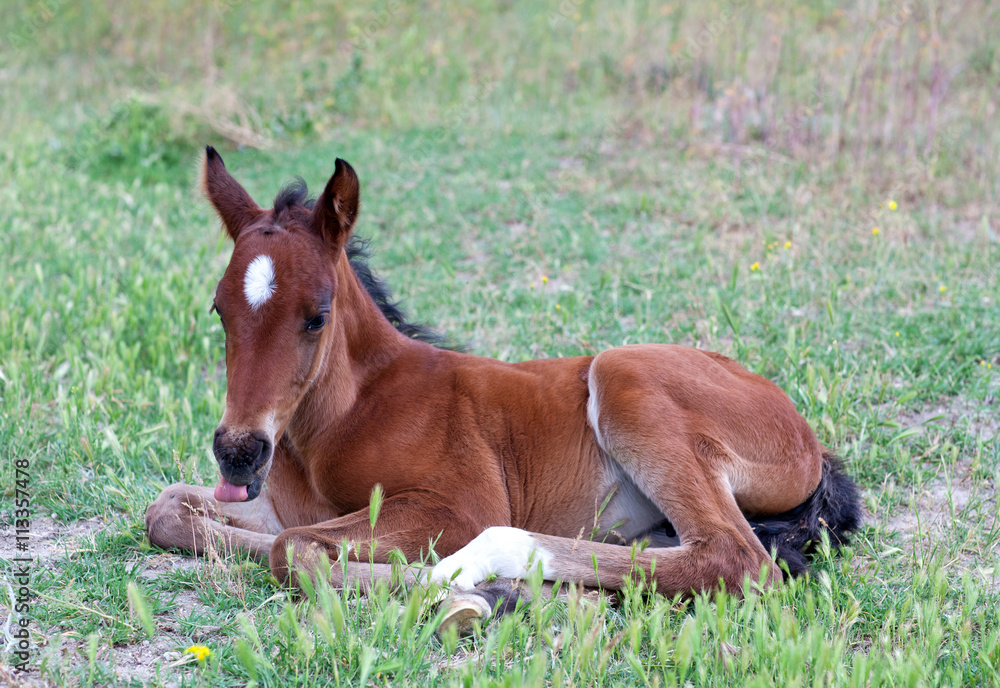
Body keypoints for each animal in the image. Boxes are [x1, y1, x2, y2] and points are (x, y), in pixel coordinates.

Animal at [145, 147, 861, 629]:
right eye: (219, 310)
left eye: (316, 316)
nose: (238, 453)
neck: (349, 414)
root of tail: (807, 436)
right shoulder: (280, 508)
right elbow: (172, 512)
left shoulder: (454, 504)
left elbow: (292, 551)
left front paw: (467, 592)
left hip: (623, 377)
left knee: (733, 558)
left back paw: (487, 576)